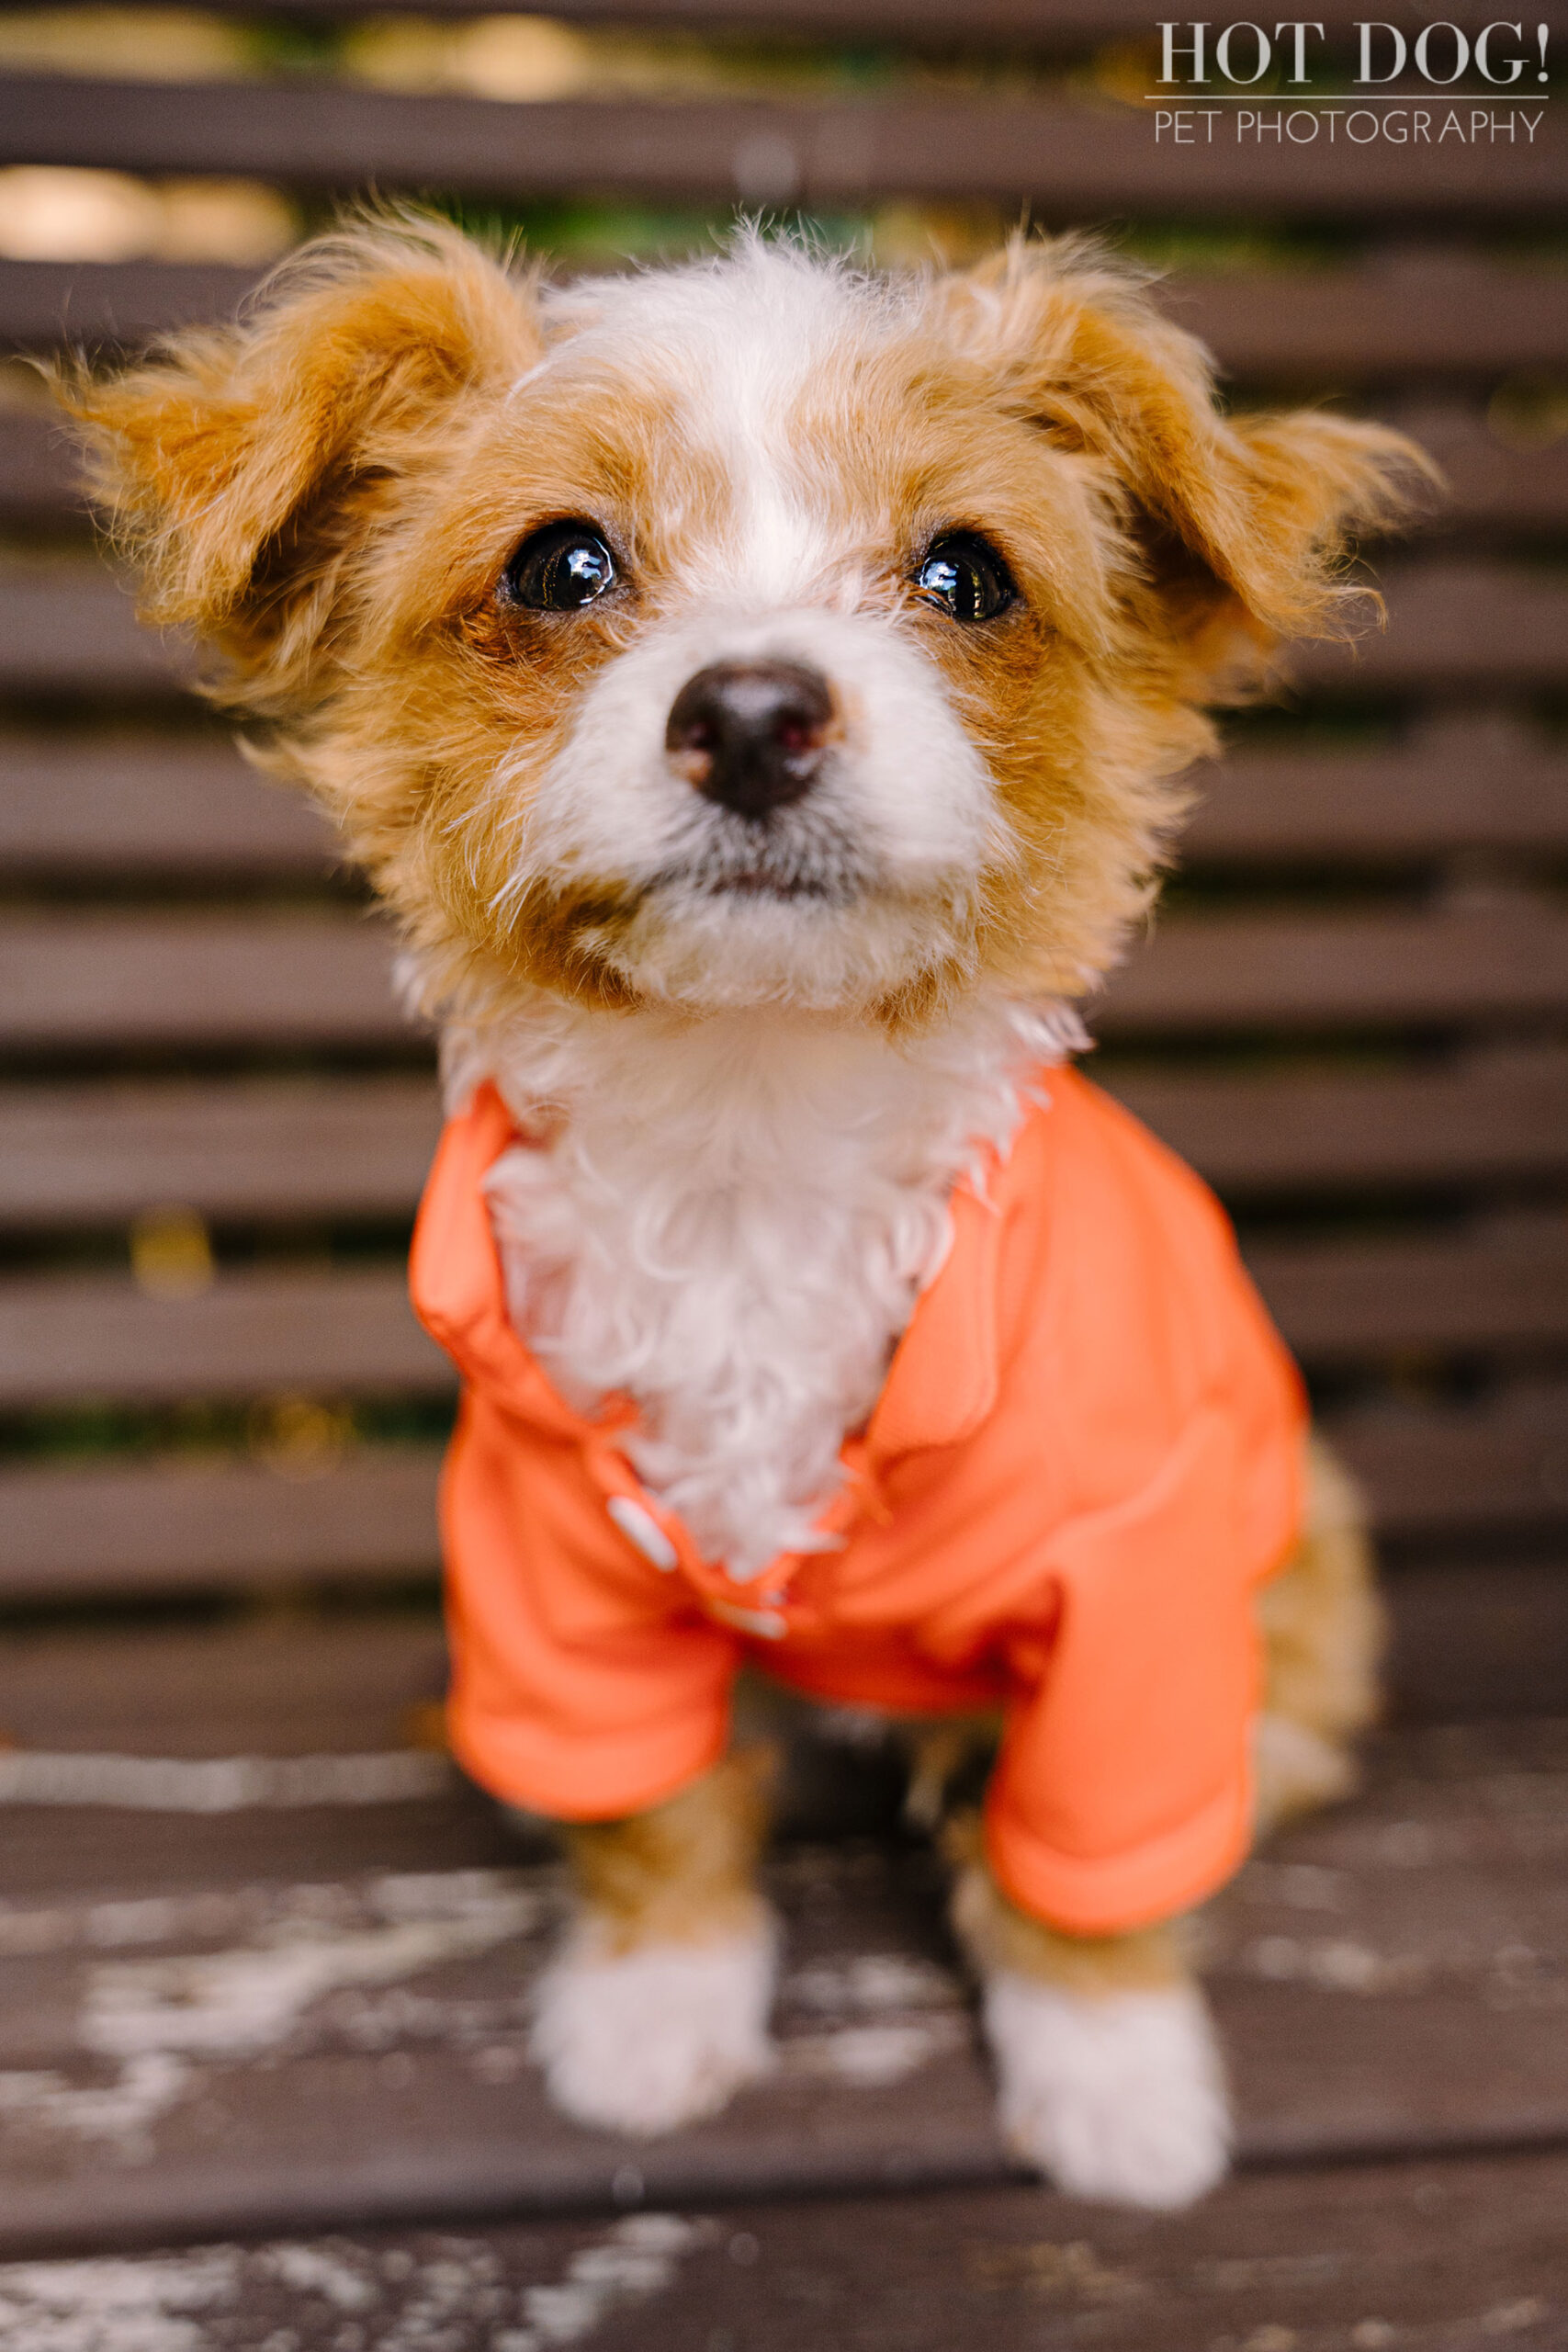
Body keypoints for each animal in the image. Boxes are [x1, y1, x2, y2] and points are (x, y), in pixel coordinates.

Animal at [67, 216, 1419, 2201]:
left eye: (968, 572)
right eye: (559, 563)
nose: (756, 710)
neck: (750, 1141)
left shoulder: (1136, 1592)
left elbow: (1082, 1867)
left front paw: (1114, 2082)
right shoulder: (554, 1572)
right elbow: (655, 1809)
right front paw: (652, 2014)